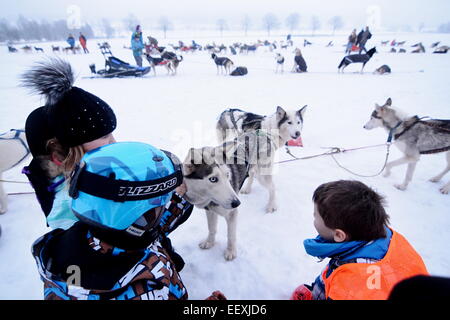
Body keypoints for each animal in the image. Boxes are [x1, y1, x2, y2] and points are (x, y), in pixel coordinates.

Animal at [183, 130, 278, 260]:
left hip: (263, 176)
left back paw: (271, 205)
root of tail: (261, 133)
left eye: (227, 175)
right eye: (213, 179)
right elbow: (211, 228)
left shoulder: (232, 213)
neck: (207, 198)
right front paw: (210, 242)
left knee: (272, 187)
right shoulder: (210, 211)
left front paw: (231, 251)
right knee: (251, 174)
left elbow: (231, 235)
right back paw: (247, 189)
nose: (237, 203)